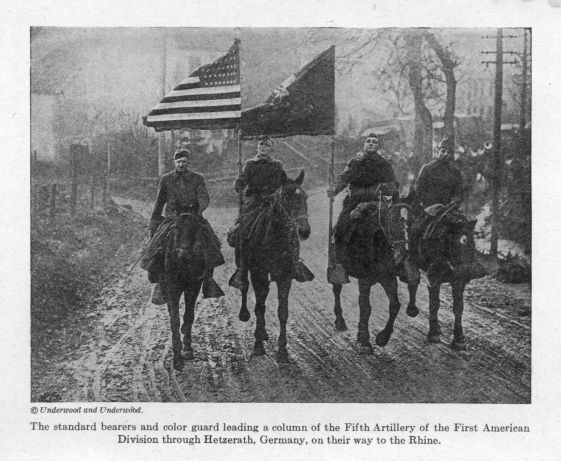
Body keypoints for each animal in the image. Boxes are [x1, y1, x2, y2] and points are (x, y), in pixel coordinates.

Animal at [162, 213, 214, 370]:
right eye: (176, 227)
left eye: (195, 229)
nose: (183, 253)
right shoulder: (172, 287)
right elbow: (174, 320)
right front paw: (177, 358)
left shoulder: (194, 286)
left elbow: (189, 316)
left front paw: (187, 349)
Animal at [233, 171, 310, 362]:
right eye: (287, 198)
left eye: (305, 197)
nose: (304, 231)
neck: (273, 237)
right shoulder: (258, 274)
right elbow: (259, 307)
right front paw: (258, 346)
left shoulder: (285, 276)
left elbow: (283, 311)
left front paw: (282, 350)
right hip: (245, 266)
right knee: (245, 286)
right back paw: (246, 317)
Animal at [330, 196, 410, 354]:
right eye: (390, 223)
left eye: (404, 223)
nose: (401, 255)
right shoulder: (365, 280)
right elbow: (366, 307)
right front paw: (365, 340)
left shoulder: (388, 278)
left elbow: (395, 305)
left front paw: (382, 338)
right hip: (336, 267)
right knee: (337, 290)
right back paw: (340, 320)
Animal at [404, 203, 484, 350]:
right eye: (454, 242)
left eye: (472, 242)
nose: (465, 271)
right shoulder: (433, 277)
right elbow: (434, 304)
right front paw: (433, 333)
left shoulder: (458, 281)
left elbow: (458, 307)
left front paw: (459, 339)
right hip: (413, 258)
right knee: (413, 280)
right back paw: (412, 310)